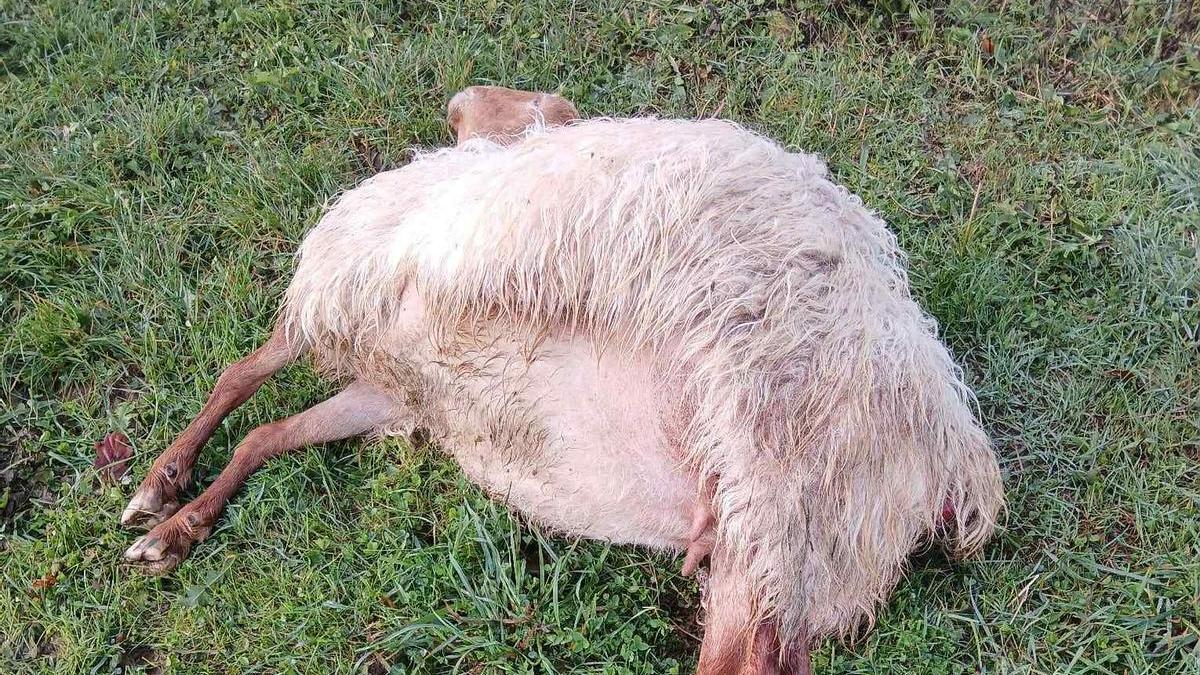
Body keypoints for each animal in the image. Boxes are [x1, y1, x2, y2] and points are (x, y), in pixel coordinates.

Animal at [120, 87, 1004, 674]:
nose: (462, 105)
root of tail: (953, 459)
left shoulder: (357, 286)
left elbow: (246, 371)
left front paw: (163, 495)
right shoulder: (384, 366)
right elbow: (258, 412)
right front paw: (170, 511)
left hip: (782, 498)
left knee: (742, 660)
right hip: (790, 545)